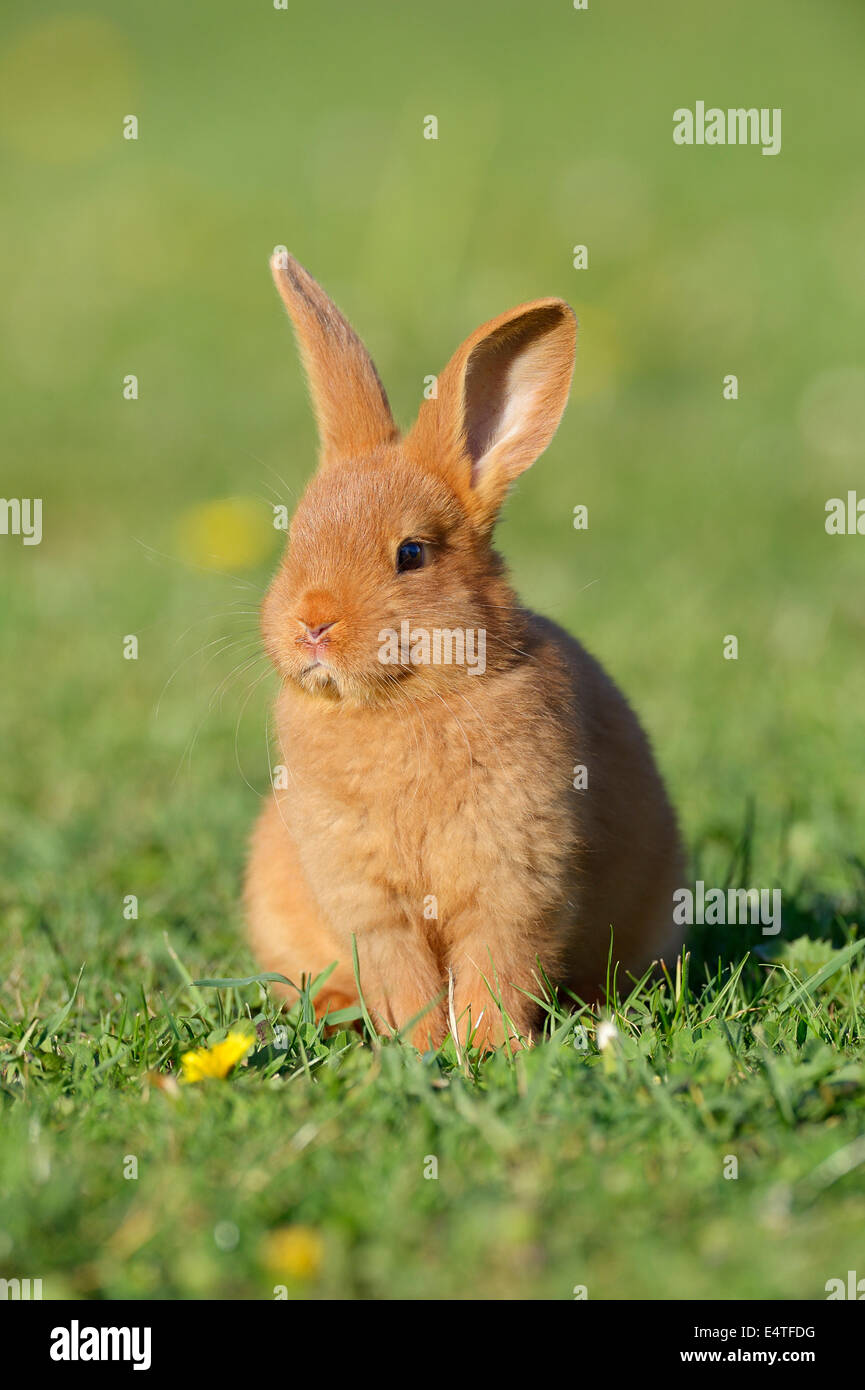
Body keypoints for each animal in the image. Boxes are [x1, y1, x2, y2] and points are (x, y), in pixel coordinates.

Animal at [245, 251, 684, 1051]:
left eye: (411, 553)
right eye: (297, 536)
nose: (312, 623)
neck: (402, 701)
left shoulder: (514, 881)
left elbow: (494, 969)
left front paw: (486, 1050)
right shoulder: (370, 902)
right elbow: (403, 977)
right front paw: (420, 1050)